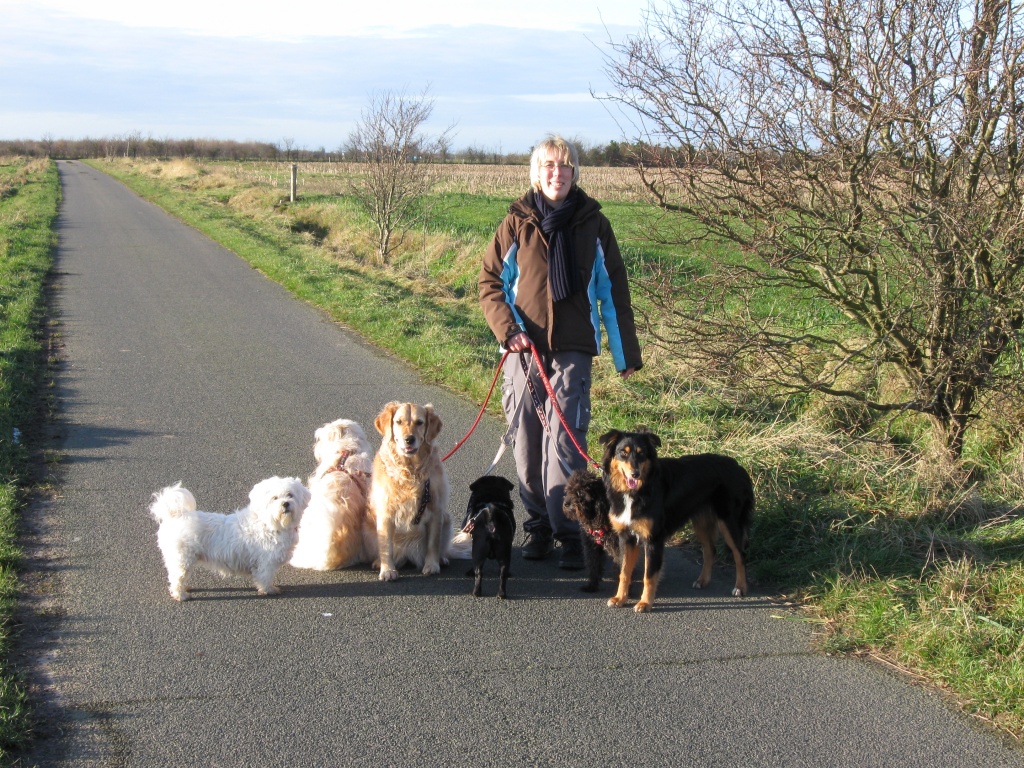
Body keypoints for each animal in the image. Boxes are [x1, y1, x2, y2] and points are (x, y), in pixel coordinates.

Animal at [148, 481, 307, 602]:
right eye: (274, 498)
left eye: (290, 495)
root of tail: (173, 515)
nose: (286, 504)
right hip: (182, 559)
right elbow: (265, 577)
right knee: (177, 577)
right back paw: (181, 595)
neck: (271, 523)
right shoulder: (266, 562)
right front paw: (269, 590)